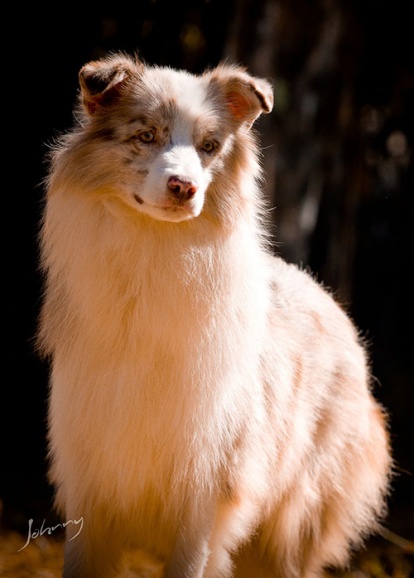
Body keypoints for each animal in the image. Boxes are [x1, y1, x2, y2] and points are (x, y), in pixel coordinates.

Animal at [38, 51, 392, 572]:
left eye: (209, 146)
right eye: (147, 135)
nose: (184, 187)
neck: (155, 253)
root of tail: (324, 294)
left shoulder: (203, 500)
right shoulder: (91, 493)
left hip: (287, 535)